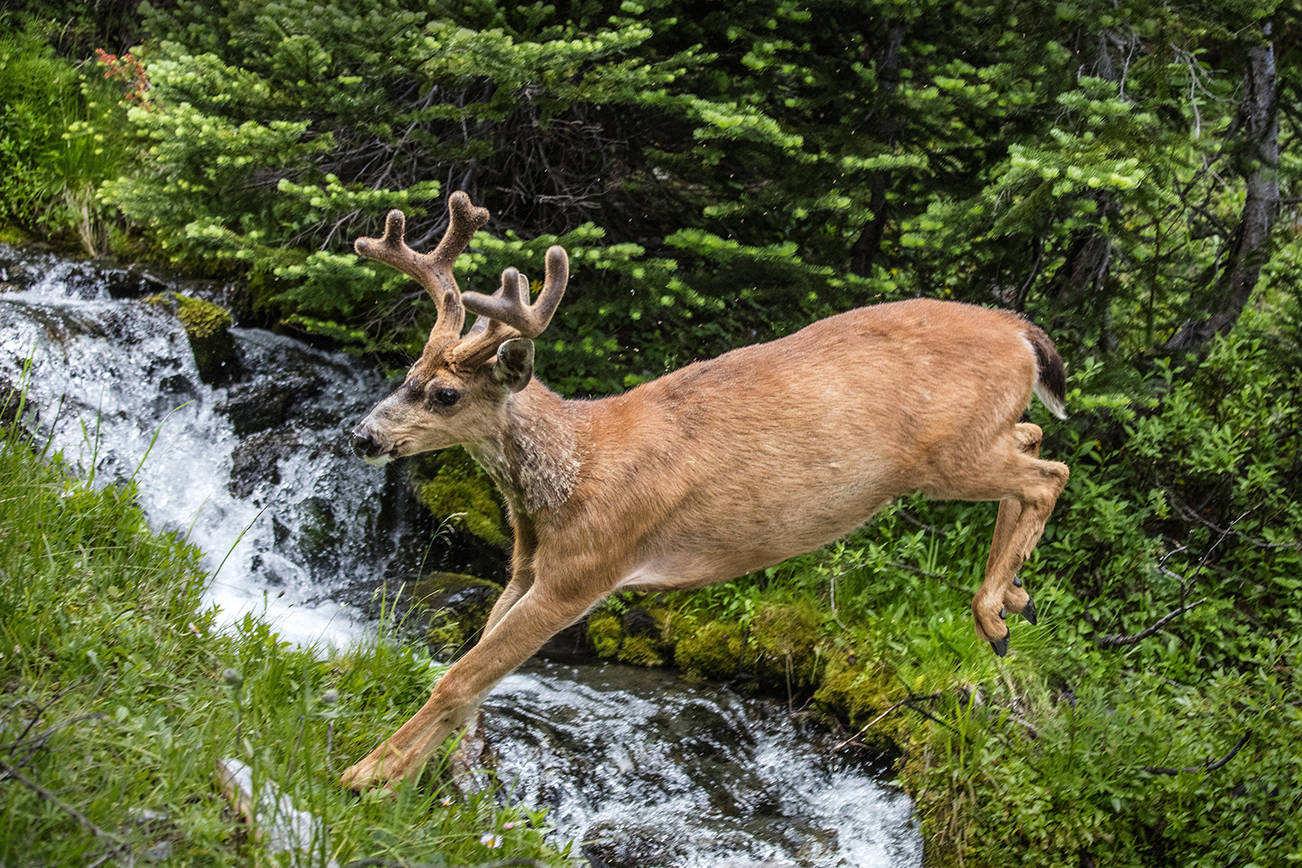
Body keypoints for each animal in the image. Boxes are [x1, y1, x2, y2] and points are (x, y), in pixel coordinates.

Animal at [343, 193, 1067, 791]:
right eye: (407, 372)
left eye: (445, 394)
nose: (363, 437)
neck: (569, 477)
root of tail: (1021, 329)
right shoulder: (525, 565)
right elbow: (471, 678)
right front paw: (439, 768)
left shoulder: (586, 567)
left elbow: (460, 676)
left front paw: (365, 775)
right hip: (976, 437)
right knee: (1033, 436)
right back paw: (1019, 596)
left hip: (946, 454)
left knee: (1049, 473)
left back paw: (994, 616)